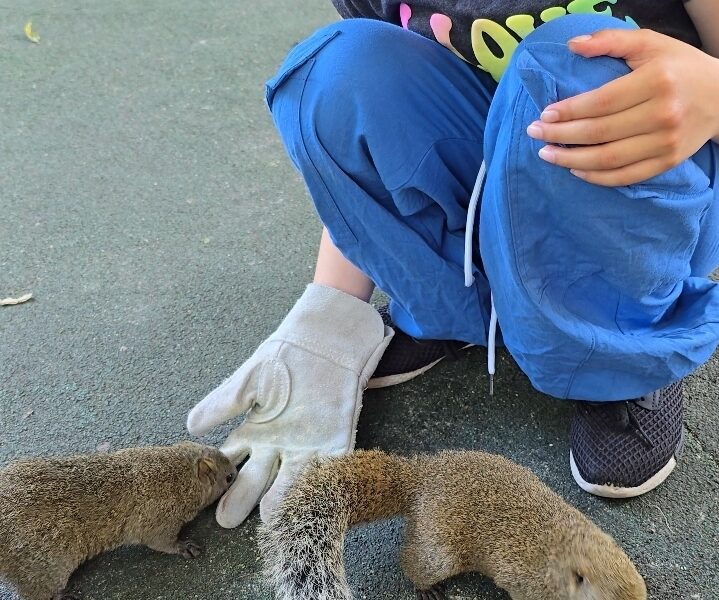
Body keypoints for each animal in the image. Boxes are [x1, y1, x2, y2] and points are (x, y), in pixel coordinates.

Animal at [0, 441, 237, 600]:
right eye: (229, 477)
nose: (237, 470)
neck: (176, 475)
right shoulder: (157, 519)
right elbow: (161, 542)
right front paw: (184, 546)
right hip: (43, 569)